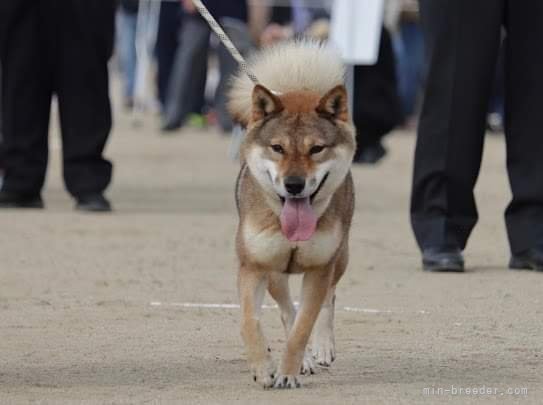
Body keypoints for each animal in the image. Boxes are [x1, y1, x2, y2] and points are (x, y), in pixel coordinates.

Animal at [228, 41, 356, 388]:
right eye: (277, 148)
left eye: (317, 149)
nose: (294, 184)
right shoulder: (254, 266)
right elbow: (250, 321)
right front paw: (263, 368)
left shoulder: (319, 269)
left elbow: (303, 327)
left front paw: (287, 373)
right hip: (275, 272)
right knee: (287, 309)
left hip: (340, 258)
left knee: (328, 301)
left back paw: (321, 350)